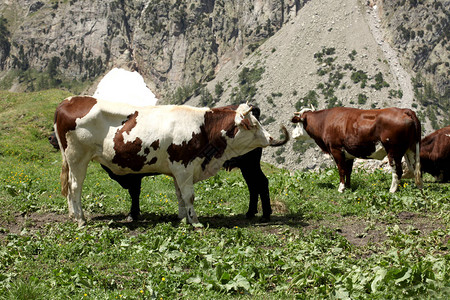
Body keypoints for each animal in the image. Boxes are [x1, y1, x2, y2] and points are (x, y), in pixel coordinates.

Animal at [54, 95, 282, 225]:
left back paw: (73, 215)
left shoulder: (177, 170)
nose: (271, 138)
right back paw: (81, 220)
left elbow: (180, 195)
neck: (202, 127)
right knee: (75, 188)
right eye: (253, 125)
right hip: (78, 158)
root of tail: (70, 100)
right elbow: (189, 196)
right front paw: (195, 222)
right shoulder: (185, 166)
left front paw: (182, 218)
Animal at [292, 106, 422, 193]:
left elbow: (341, 170)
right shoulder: (349, 154)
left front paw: (341, 188)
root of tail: (404, 110)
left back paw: (392, 190)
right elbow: (348, 171)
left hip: (393, 151)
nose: (293, 134)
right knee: (414, 169)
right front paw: (348, 187)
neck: (325, 121)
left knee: (397, 171)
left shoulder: (336, 150)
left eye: (297, 123)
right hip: (411, 149)